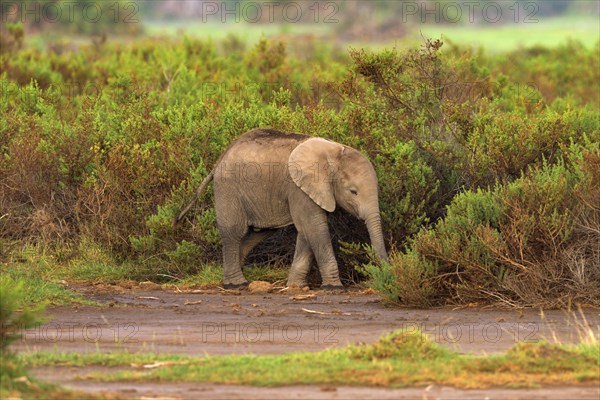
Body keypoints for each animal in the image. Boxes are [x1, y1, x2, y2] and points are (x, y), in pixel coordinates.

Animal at [175, 130, 390, 290]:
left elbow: (307, 230)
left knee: (258, 233)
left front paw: (295, 286)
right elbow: (315, 227)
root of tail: (220, 158)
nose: (384, 273)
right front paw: (334, 288)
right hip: (228, 188)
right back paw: (237, 284)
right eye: (353, 192)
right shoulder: (298, 188)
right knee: (234, 232)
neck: (334, 152)